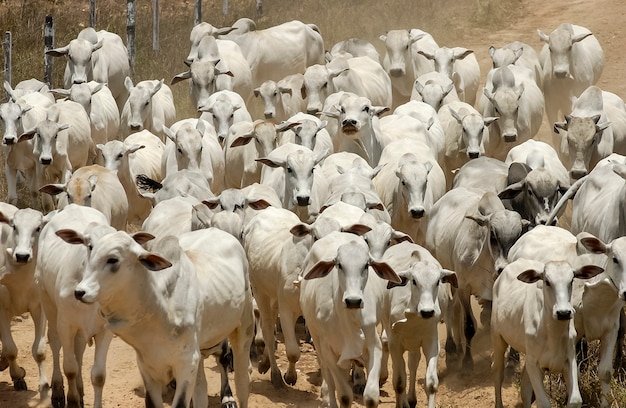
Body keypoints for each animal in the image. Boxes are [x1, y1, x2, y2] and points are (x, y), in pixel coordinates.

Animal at [0, 207, 49, 396]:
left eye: (38, 228)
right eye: (14, 226)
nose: (22, 255)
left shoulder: (40, 308)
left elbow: (40, 350)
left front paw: (44, 384)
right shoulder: (2, 310)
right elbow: (11, 349)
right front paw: (18, 375)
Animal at [34, 206, 114, 408]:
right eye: (90, 245)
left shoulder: (105, 330)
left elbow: (98, 376)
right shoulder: (66, 324)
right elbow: (70, 368)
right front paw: (71, 400)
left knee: (79, 349)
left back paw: (80, 389)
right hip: (47, 300)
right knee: (55, 342)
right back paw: (57, 390)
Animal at [69, 226, 254, 408]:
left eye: (113, 259)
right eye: (90, 249)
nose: (80, 292)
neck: (160, 308)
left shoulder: (187, 365)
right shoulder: (147, 367)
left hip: (243, 330)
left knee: (241, 382)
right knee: (201, 392)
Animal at [298, 231, 400, 406]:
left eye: (366, 265)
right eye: (339, 265)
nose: (353, 301)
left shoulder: (374, 345)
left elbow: (371, 396)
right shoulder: (329, 352)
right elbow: (344, 396)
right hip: (317, 340)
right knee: (328, 380)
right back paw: (328, 399)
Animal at [490, 258, 604, 408]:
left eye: (571, 280)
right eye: (547, 281)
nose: (563, 313)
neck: (552, 333)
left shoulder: (569, 359)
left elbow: (575, 400)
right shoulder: (534, 363)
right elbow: (543, 402)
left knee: (525, 386)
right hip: (497, 337)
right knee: (498, 372)